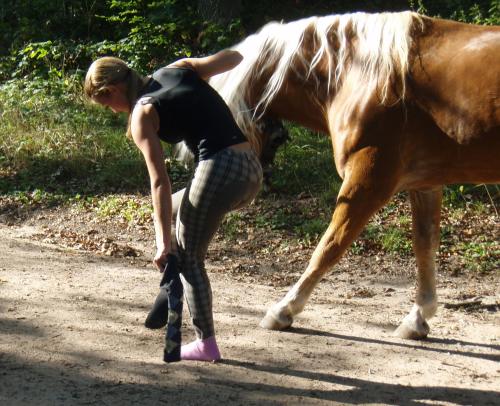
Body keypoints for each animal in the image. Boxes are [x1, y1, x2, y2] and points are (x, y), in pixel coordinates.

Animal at [205, 11, 498, 340]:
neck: (359, 76)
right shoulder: (425, 184)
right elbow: (425, 244)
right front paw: (418, 317)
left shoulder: (367, 180)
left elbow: (329, 246)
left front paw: (283, 310)